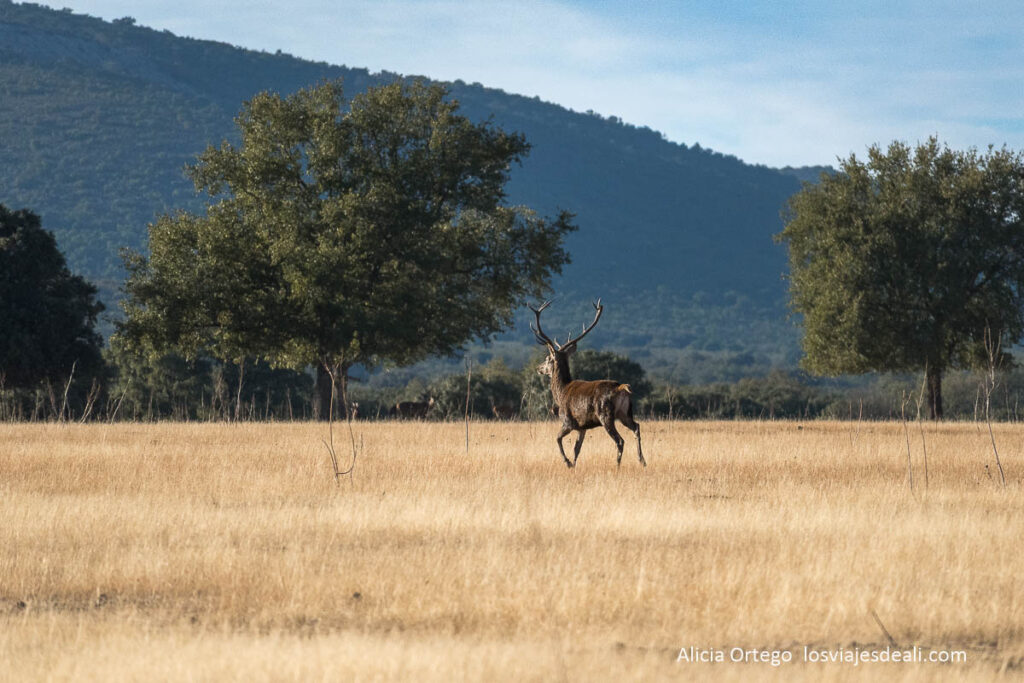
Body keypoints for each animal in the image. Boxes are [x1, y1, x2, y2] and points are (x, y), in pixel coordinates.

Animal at [530, 299, 645, 469]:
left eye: (547, 358)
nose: (538, 368)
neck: (560, 392)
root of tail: (621, 388)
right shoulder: (581, 427)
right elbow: (577, 449)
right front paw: (574, 465)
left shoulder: (568, 421)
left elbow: (557, 439)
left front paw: (567, 462)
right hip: (625, 412)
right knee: (636, 427)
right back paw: (642, 461)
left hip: (605, 414)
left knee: (620, 440)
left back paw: (617, 466)